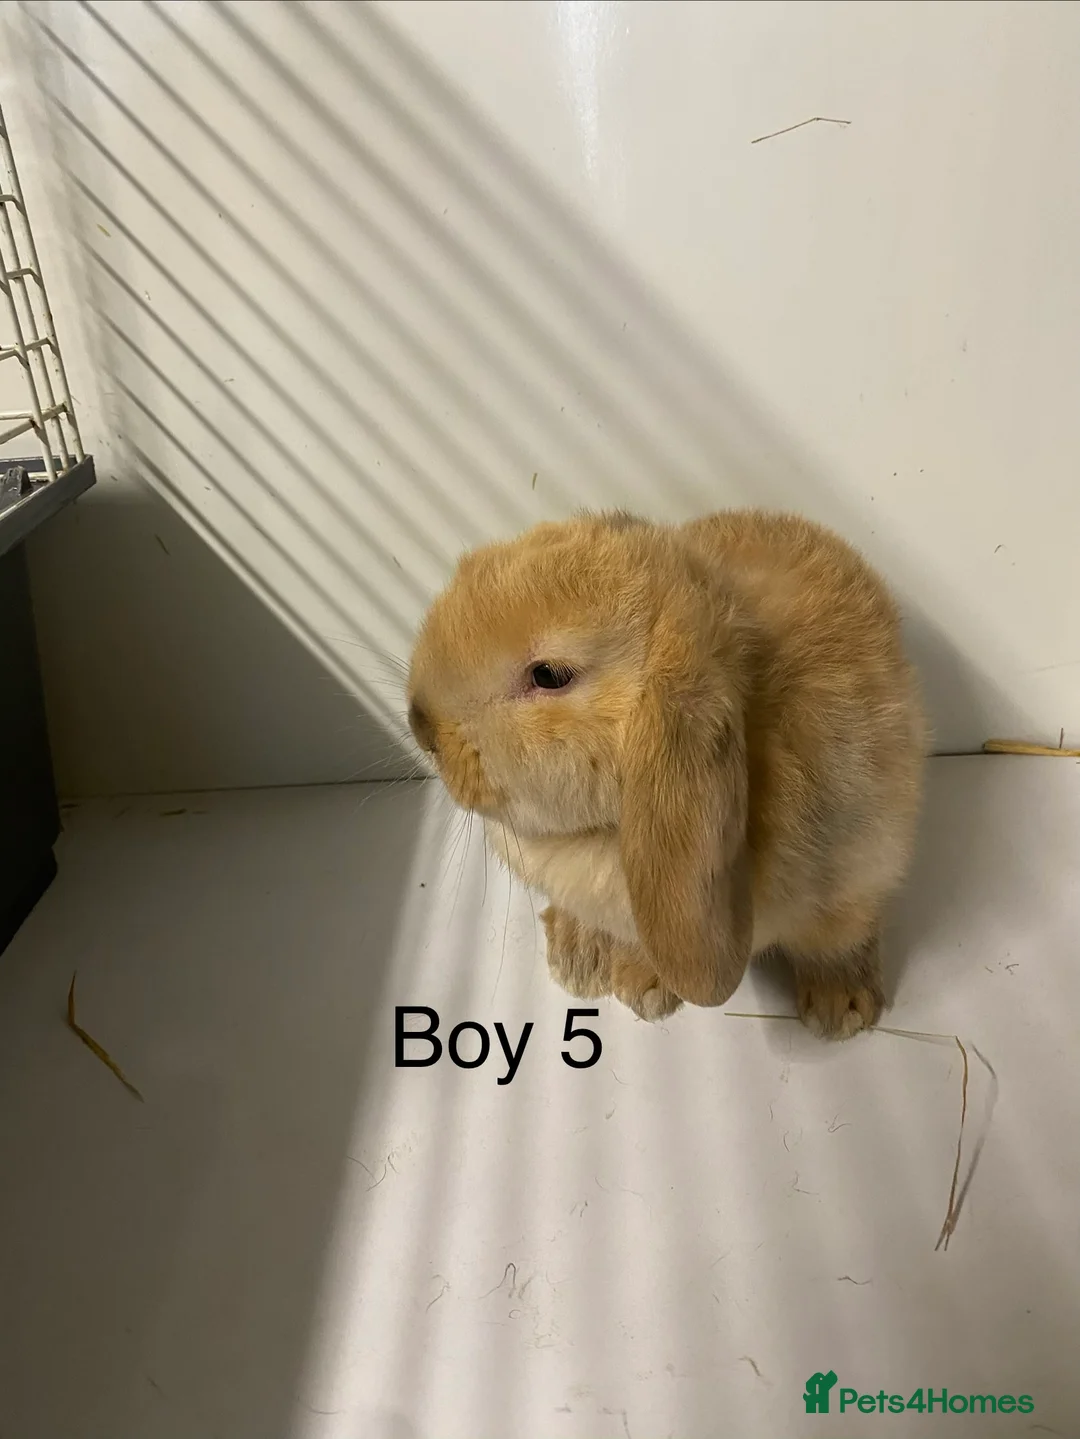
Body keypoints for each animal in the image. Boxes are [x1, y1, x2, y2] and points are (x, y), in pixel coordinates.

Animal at [406, 508, 926, 1039]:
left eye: (549, 675)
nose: (420, 723)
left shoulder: (858, 862)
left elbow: (837, 937)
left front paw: (840, 1008)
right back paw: (576, 955)